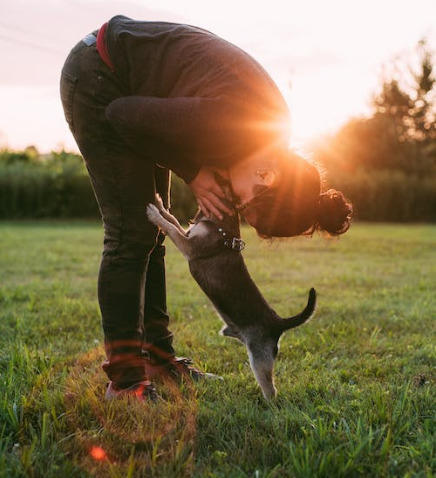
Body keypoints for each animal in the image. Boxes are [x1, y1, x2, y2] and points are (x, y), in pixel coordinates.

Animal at [147, 195, 316, 400]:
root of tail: (278, 323)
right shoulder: (187, 234)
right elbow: (172, 220)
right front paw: (160, 206)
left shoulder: (190, 246)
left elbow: (171, 227)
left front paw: (154, 214)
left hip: (259, 359)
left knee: (271, 389)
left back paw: (267, 403)